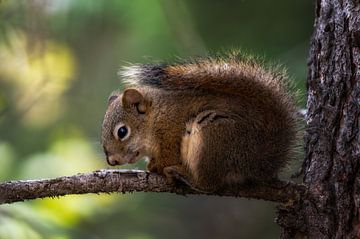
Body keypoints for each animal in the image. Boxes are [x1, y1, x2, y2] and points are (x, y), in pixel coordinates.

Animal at [101, 54, 298, 192]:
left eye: (122, 132)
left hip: (214, 137)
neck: (155, 116)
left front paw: (156, 166)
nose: (112, 161)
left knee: (208, 184)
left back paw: (183, 174)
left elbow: (168, 156)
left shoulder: (171, 132)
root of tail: (259, 161)